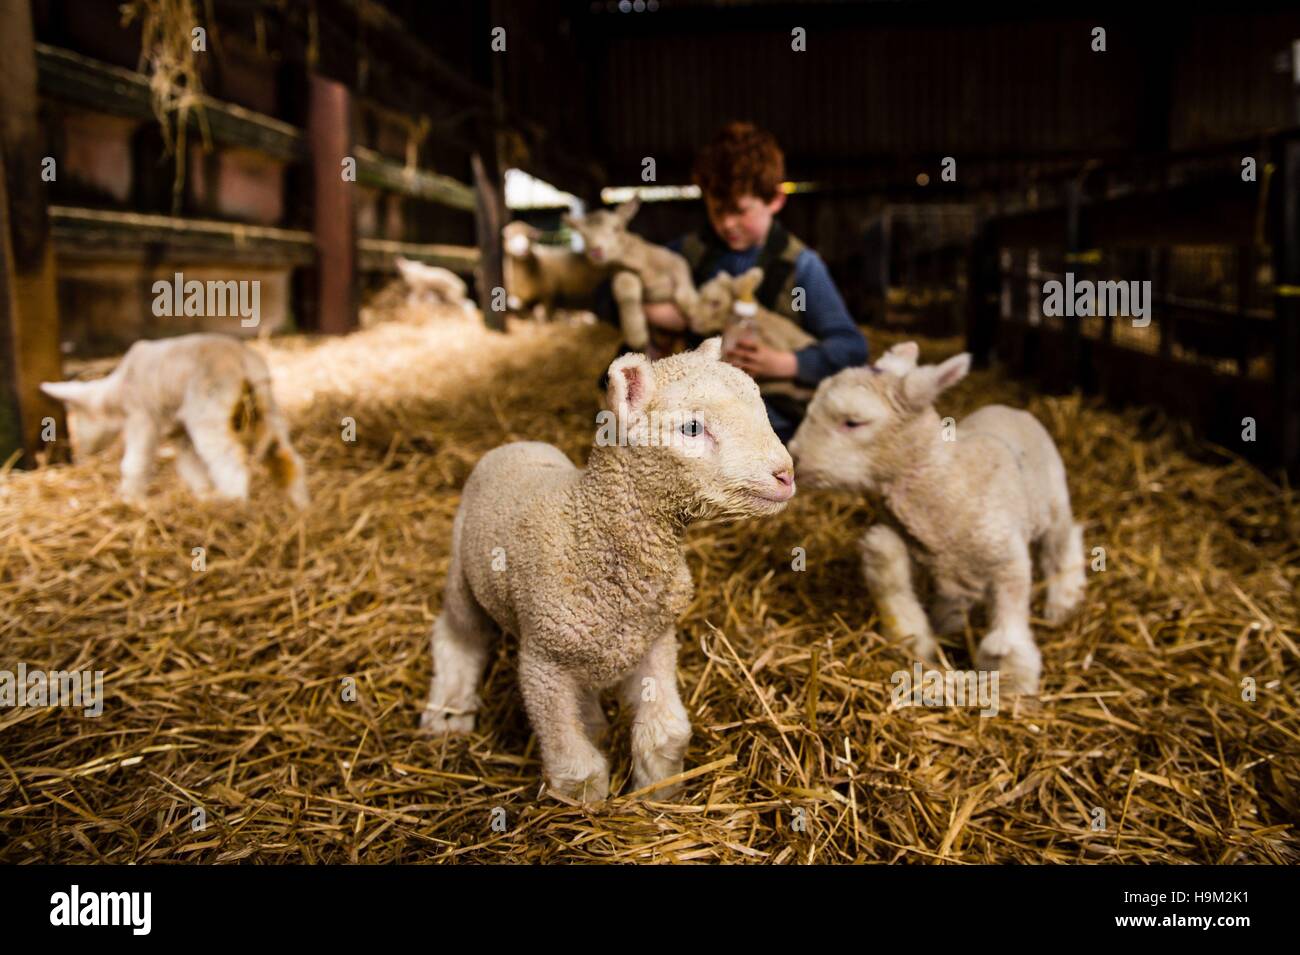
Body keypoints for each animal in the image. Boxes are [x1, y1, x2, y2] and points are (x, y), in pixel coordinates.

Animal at [39, 337, 306, 514]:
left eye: (77, 420)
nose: (81, 456)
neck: (117, 392)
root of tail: (244, 361)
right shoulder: (180, 431)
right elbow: (189, 466)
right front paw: (203, 494)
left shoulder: (142, 416)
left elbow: (135, 462)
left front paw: (130, 500)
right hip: (268, 409)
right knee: (287, 457)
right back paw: (299, 506)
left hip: (208, 412)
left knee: (231, 462)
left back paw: (232, 503)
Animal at [421, 335, 795, 800]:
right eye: (691, 428)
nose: (786, 474)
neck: (587, 530)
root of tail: (515, 444)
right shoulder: (543, 665)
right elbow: (577, 770)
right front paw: (589, 806)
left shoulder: (655, 642)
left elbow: (665, 735)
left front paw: (658, 797)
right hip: (462, 572)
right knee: (458, 635)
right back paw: (448, 711)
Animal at [561, 197, 696, 350]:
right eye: (583, 235)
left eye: (617, 228)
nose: (595, 251)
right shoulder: (623, 271)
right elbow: (626, 293)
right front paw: (636, 336)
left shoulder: (673, 260)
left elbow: (682, 275)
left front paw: (694, 308)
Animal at [785, 343, 1081, 696]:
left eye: (853, 422)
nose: (794, 459)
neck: (945, 481)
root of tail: (1012, 409)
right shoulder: (910, 540)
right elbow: (886, 560)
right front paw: (911, 636)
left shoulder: (1009, 562)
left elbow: (1008, 632)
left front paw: (1014, 683)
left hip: (1055, 503)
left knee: (1061, 548)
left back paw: (1063, 603)